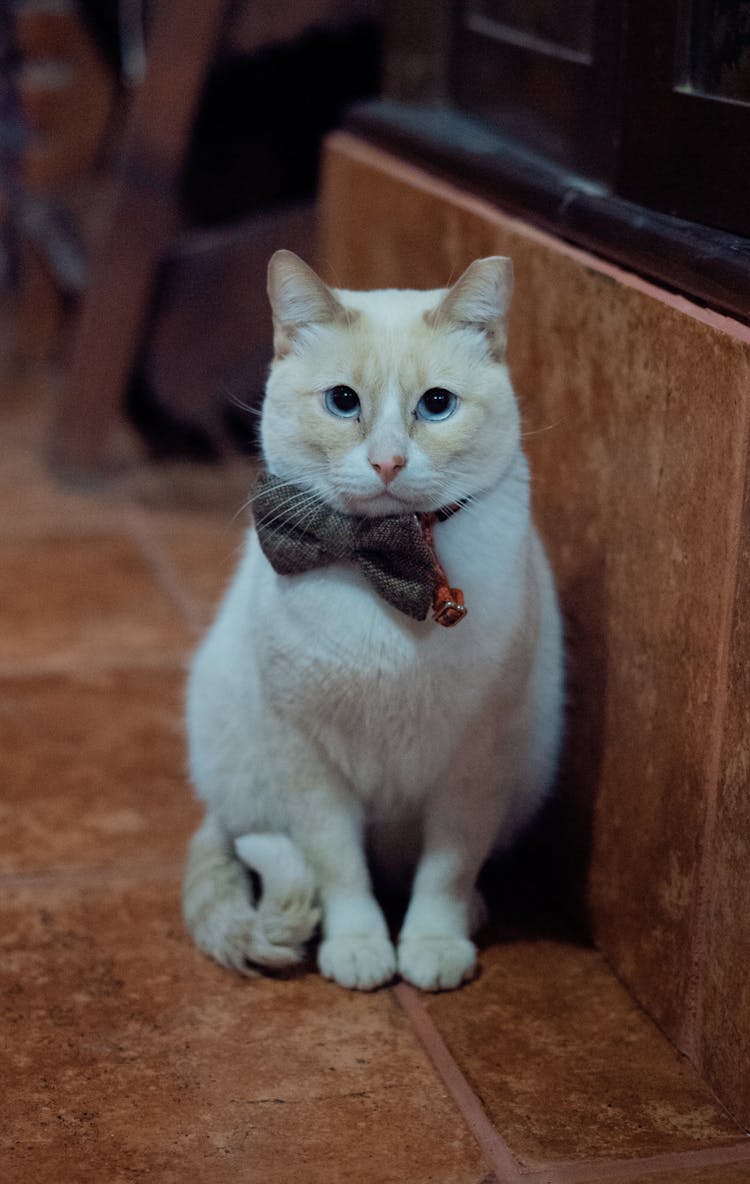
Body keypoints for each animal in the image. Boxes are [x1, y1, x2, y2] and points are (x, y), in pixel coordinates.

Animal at [184, 249, 561, 989]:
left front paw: (434, 946)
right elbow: (340, 871)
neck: (382, 561)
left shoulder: (477, 765)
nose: (388, 461)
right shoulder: (309, 762)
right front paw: (359, 948)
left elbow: (446, 870)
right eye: (343, 402)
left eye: (437, 405)